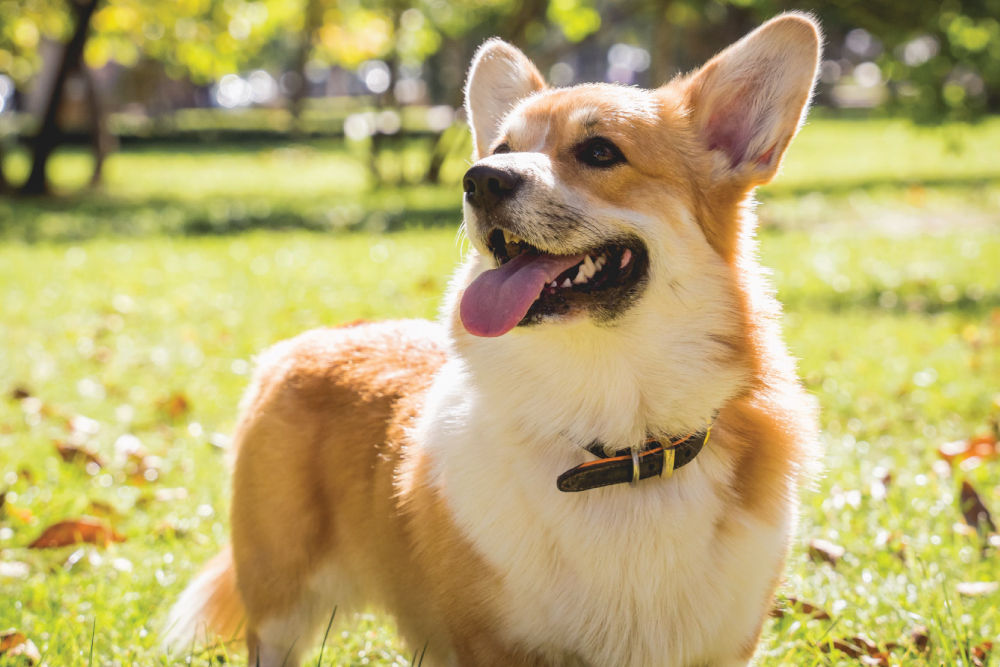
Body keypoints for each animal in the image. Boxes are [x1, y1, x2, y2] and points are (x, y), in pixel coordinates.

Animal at [164, 15, 820, 667]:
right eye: (503, 150)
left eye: (600, 152)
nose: (478, 180)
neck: (616, 439)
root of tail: (314, 339)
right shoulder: (493, 645)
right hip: (278, 600)